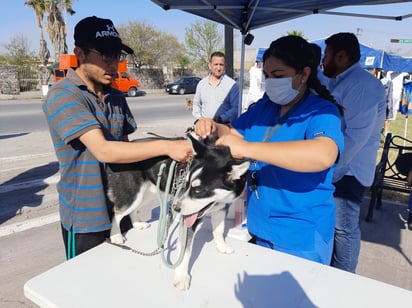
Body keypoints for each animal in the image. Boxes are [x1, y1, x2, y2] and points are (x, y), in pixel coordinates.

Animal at [104, 133, 249, 292]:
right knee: (117, 212)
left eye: (198, 190)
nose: (176, 208)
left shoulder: (222, 207)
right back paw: (116, 235)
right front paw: (181, 276)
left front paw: (221, 246)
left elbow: (219, 230)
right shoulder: (189, 218)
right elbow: (185, 251)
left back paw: (137, 223)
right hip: (132, 194)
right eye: (185, 184)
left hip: (147, 193)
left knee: (134, 208)